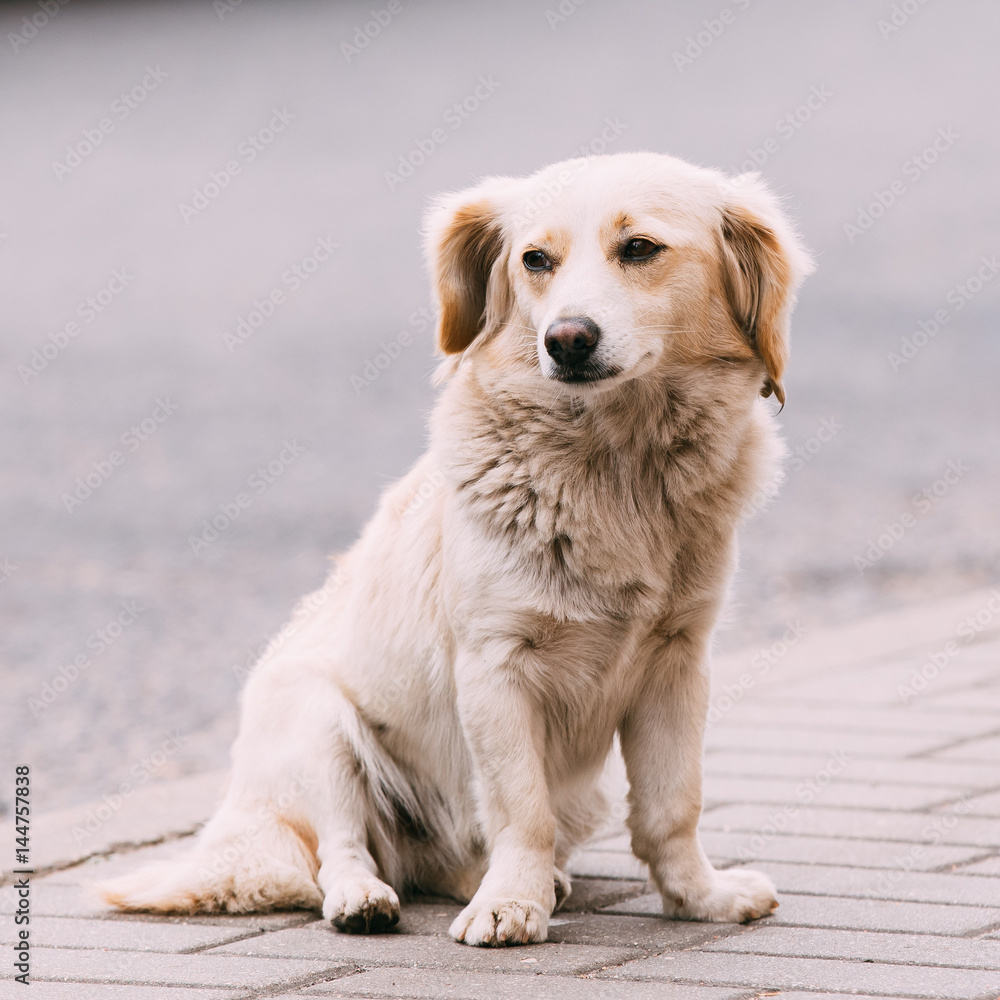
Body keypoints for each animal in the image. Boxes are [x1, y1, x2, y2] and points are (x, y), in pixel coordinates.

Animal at [101, 154, 812, 944]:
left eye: (639, 249)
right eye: (536, 260)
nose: (566, 339)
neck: (616, 466)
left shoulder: (678, 662)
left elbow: (671, 808)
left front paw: (698, 897)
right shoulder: (495, 667)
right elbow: (520, 810)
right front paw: (512, 905)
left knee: (445, 864)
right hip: (317, 723)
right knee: (340, 850)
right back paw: (367, 899)